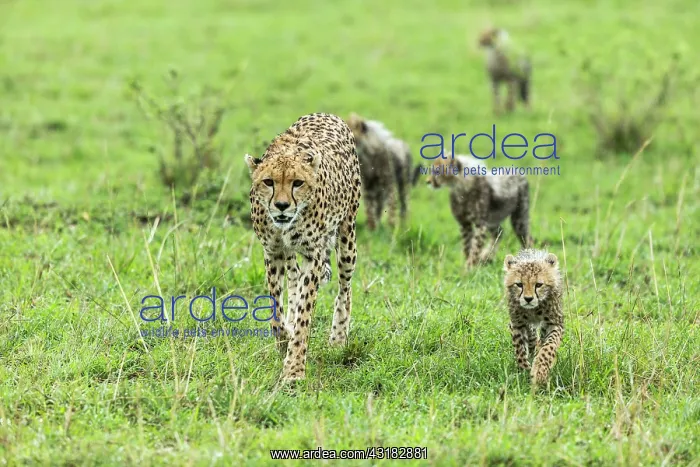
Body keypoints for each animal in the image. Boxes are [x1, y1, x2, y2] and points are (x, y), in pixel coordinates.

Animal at [245, 112, 362, 382]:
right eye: (268, 182)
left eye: (297, 183)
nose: (282, 206)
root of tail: (327, 114)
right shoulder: (273, 251)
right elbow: (275, 308)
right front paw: (283, 339)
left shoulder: (313, 255)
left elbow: (305, 315)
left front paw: (294, 370)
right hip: (291, 255)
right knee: (294, 279)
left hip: (347, 236)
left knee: (345, 288)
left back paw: (338, 339)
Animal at [503, 249, 564, 387]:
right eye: (519, 284)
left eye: (539, 284)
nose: (528, 299)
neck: (534, 310)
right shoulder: (517, 323)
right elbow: (520, 350)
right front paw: (524, 371)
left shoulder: (555, 323)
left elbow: (549, 346)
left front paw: (540, 371)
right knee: (532, 338)